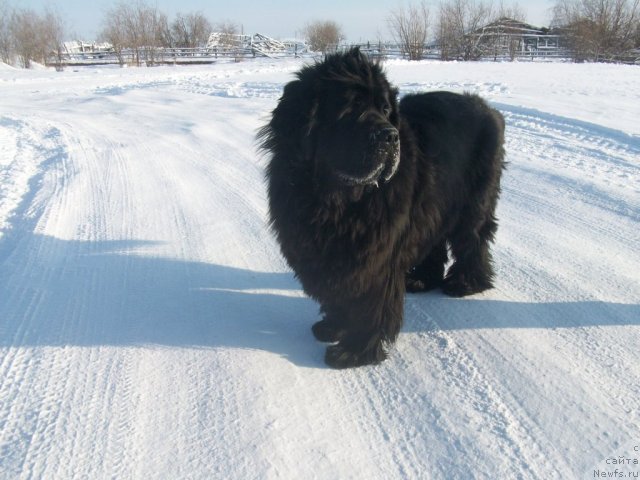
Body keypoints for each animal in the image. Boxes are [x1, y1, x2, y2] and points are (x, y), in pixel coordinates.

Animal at [258, 48, 504, 370]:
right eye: (349, 107)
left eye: (386, 109)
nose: (390, 136)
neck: (335, 198)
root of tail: (489, 109)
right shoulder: (327, 250)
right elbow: (339, 291)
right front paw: (333, 325)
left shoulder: (375, 255)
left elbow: (371, 302)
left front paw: (355, 351)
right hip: (434, 207)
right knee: (437, 242)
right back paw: (422, 279)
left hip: (473, 204)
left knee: (473, 242)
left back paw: (465, 283)